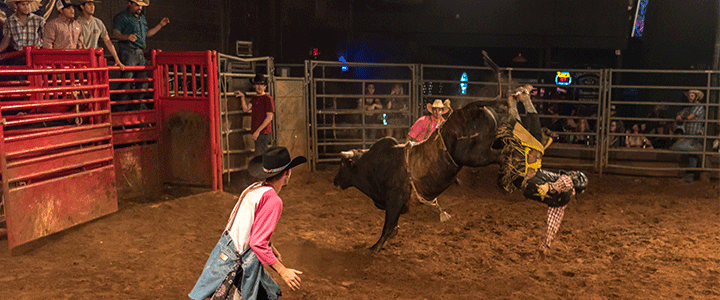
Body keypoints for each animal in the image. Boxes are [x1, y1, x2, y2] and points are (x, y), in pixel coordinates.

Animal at [334, 99, 510, 252]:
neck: (376, 165)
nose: (335, 181)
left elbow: (388, 226)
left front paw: (374, 248)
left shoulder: (394, 200)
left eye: (342, 165)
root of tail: (474, 107)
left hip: (475, 155)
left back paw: (506, 180)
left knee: (502, 155)